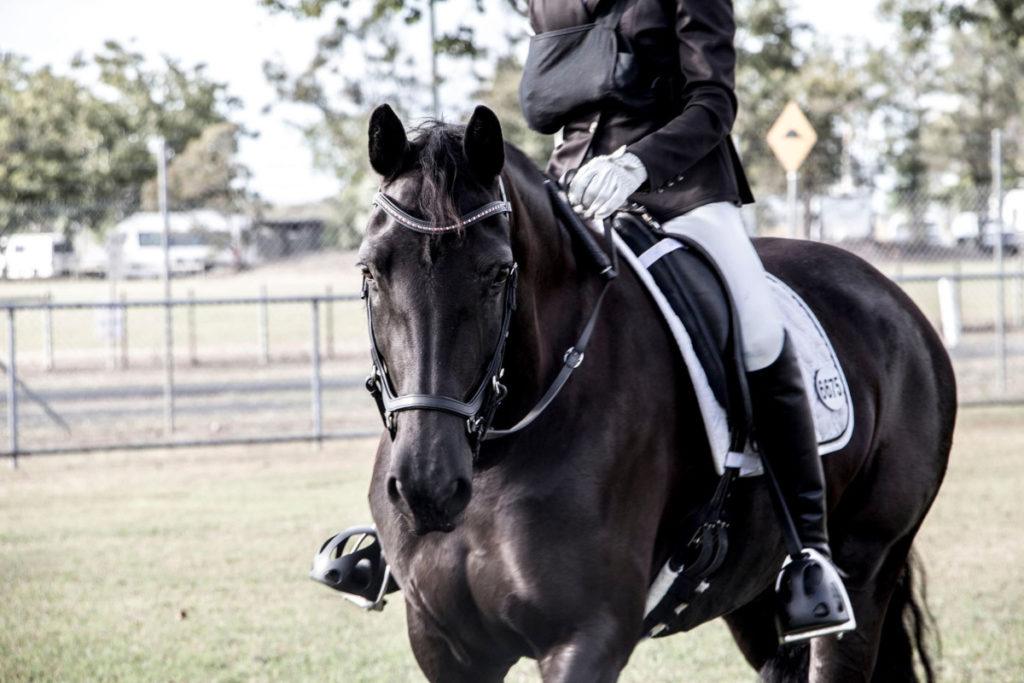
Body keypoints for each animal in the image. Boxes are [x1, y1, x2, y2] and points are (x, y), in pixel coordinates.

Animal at [356, 104, 954, 679]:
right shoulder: (447, 647)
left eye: (500, 273)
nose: (427, 487)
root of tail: (893, 298)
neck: (497, 458)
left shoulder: (588, 638)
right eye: (369, 270)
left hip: (866, 567)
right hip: (753, 598)